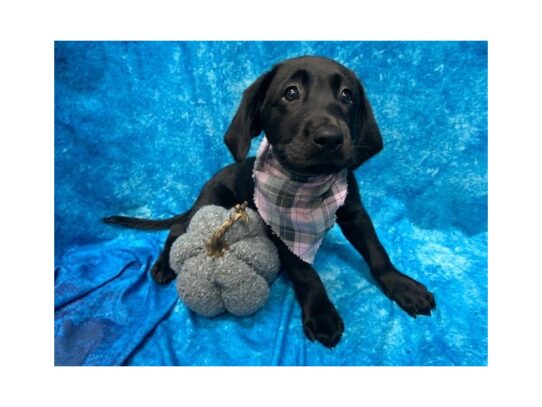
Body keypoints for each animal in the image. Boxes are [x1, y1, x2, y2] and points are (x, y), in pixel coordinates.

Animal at [105, 55, 438, 350]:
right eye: (291, 93)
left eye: (347, 95)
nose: (330, 137)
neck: (307, 186)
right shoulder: (279, 229)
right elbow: (305, 273)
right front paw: (321, 313)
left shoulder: (355, 213)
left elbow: (377, 252)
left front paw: (401, 285)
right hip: (212, 206)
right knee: (178, 230)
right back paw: (163, 265)